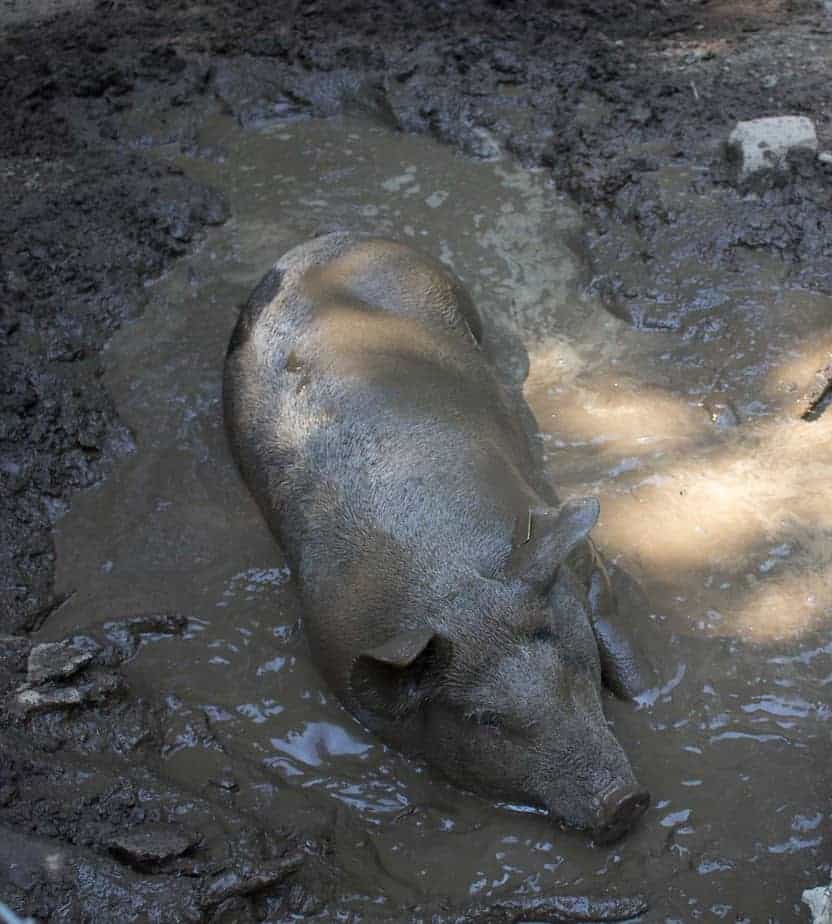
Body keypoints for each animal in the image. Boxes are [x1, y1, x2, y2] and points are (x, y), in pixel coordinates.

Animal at [224, 233, 652, 844]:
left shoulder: (567, 544)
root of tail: (334, 239)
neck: (444, 578)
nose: (624, 801)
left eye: (570, 667)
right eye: (486, 720)